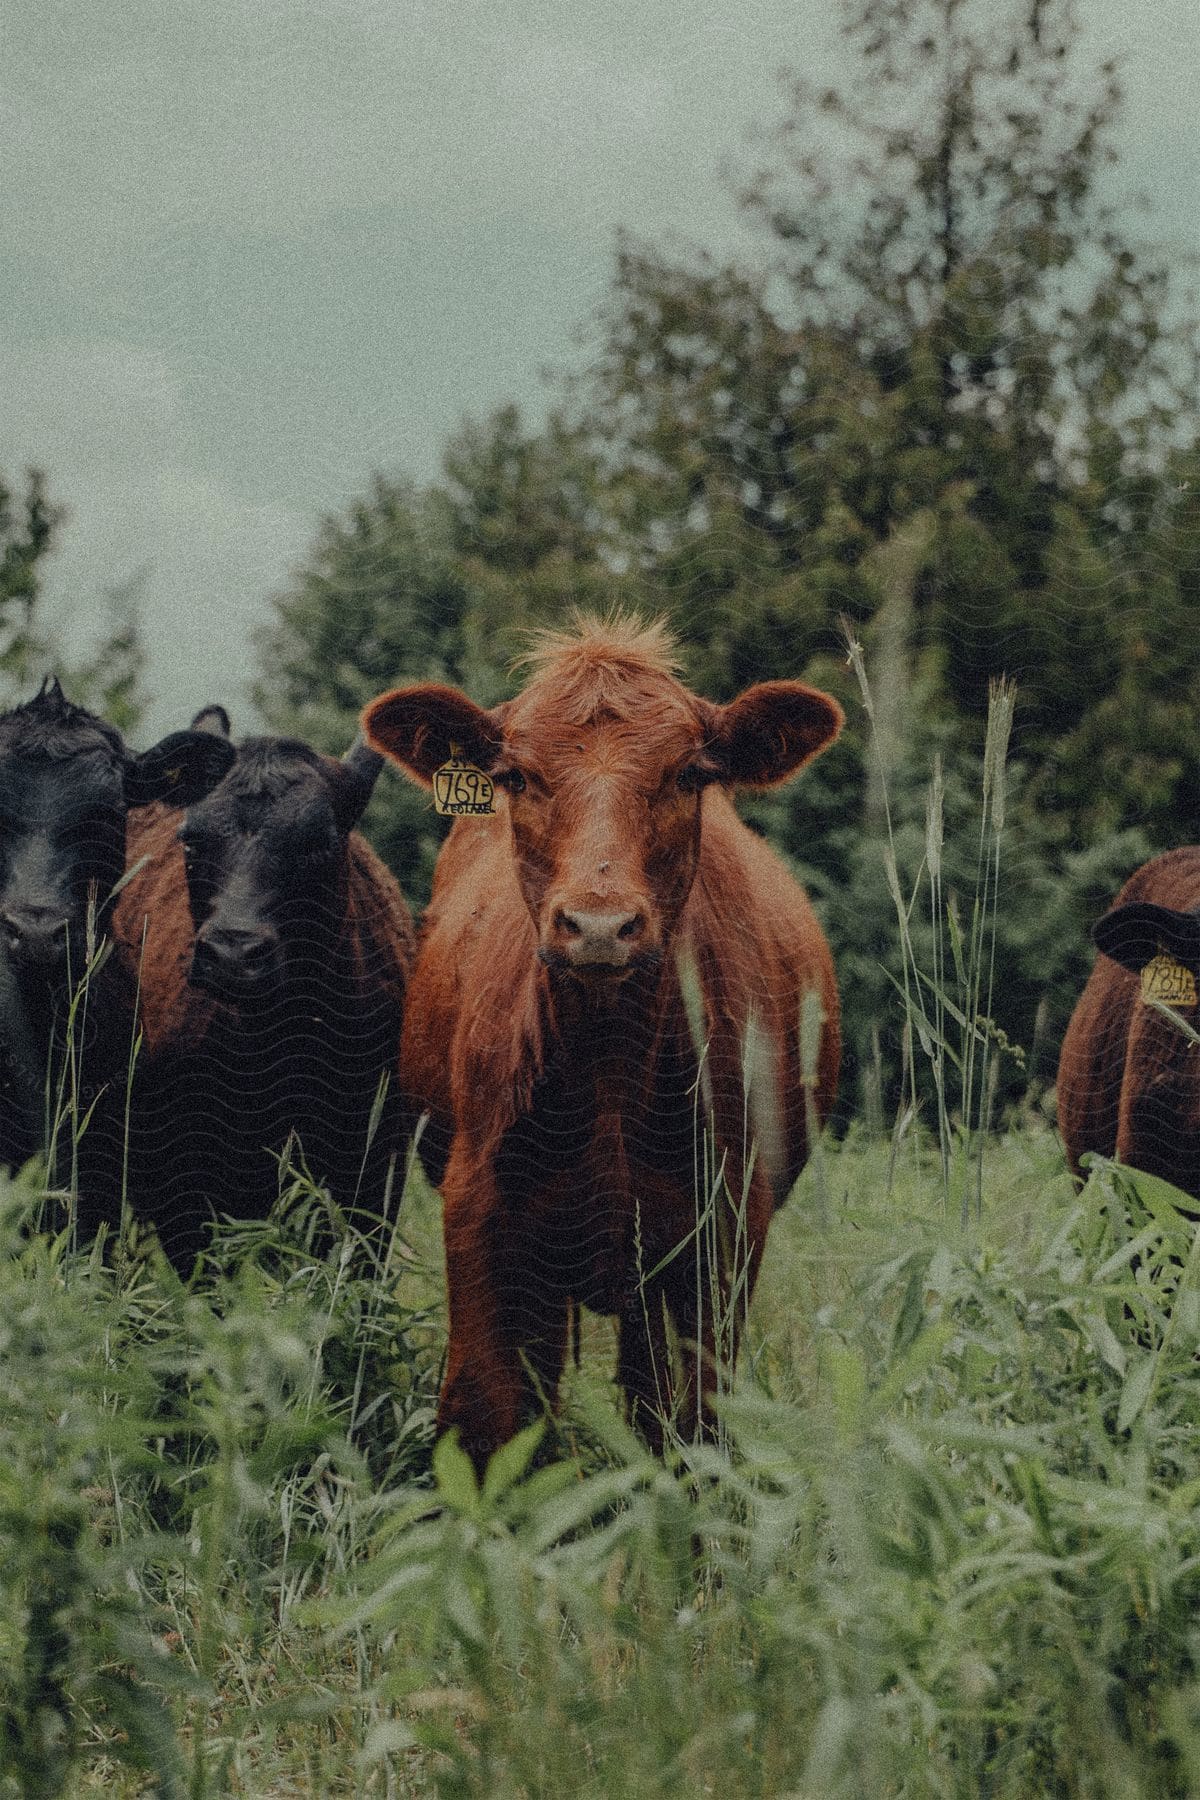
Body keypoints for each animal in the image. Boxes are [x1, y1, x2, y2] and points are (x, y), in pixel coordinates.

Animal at [367, 615, 845, 1461]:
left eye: (688, 774)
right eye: (517, 776)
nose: (598, 925)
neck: (608, 1069)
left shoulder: (716, 1237)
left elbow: (687, 1424)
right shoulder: (482, 1218)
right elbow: (489, 1411)